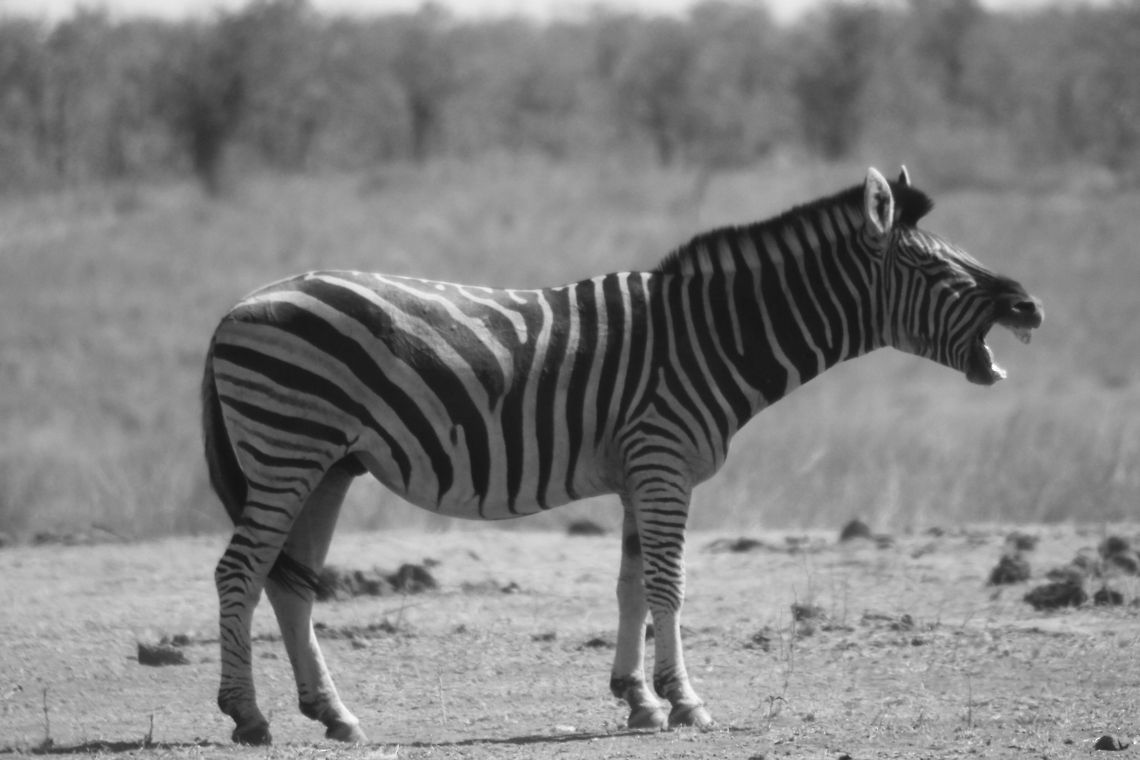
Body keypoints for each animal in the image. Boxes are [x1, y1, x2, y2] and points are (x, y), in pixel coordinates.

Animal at [201, 167, 1042, 744]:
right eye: (938, 269)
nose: (1031, 306)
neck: (713, 337)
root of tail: (237, 306)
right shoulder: (664, 460)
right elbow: (669, 585)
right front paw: (687, 701)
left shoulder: (642, 471)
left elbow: (632, 586)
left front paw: (638, 698)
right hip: (287, 447)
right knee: (240, 571)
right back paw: (248, 716)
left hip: (328, 464)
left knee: (289, 583)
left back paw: (334, 714)